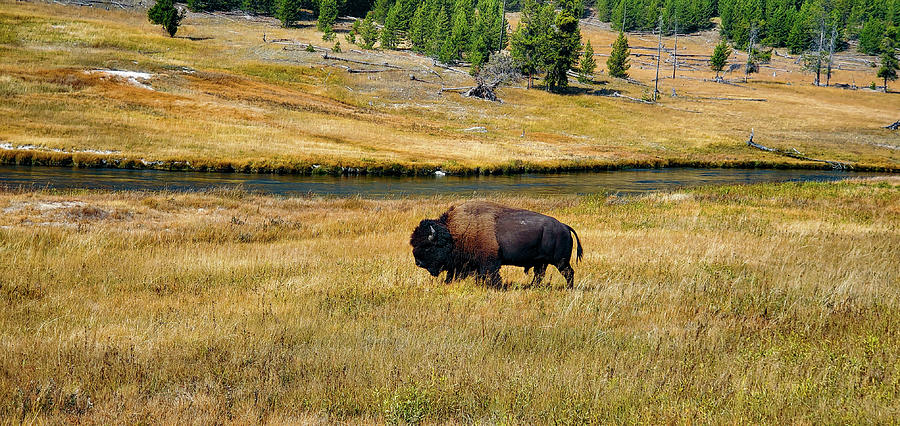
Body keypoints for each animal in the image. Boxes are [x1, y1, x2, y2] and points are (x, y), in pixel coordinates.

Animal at [410, 201, 584, 288]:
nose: (418, 262)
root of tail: (564, 226)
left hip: (560, 261)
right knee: (539, 275)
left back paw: (569, 288)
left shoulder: (489, 263)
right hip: (542, 262)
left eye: (427, 246)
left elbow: (491, 275)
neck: (453, 234)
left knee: (569, 273)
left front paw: (496, 287)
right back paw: (533, 287)